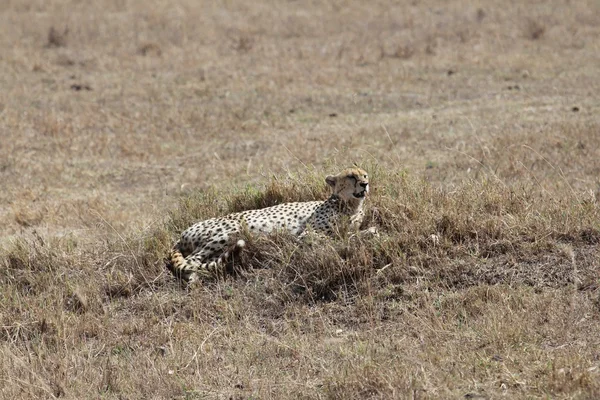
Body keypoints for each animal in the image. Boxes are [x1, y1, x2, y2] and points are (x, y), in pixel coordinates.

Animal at [165, 167, 370, 282]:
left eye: (365, 175)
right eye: (352, 177)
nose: (365, 184)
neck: (350, 205)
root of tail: (182, 234)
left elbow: (350, 233)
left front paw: (367, 233)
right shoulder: (307, 234)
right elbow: (336, 238)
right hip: (231, 230)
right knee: (191, 260)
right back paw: (193, 280)